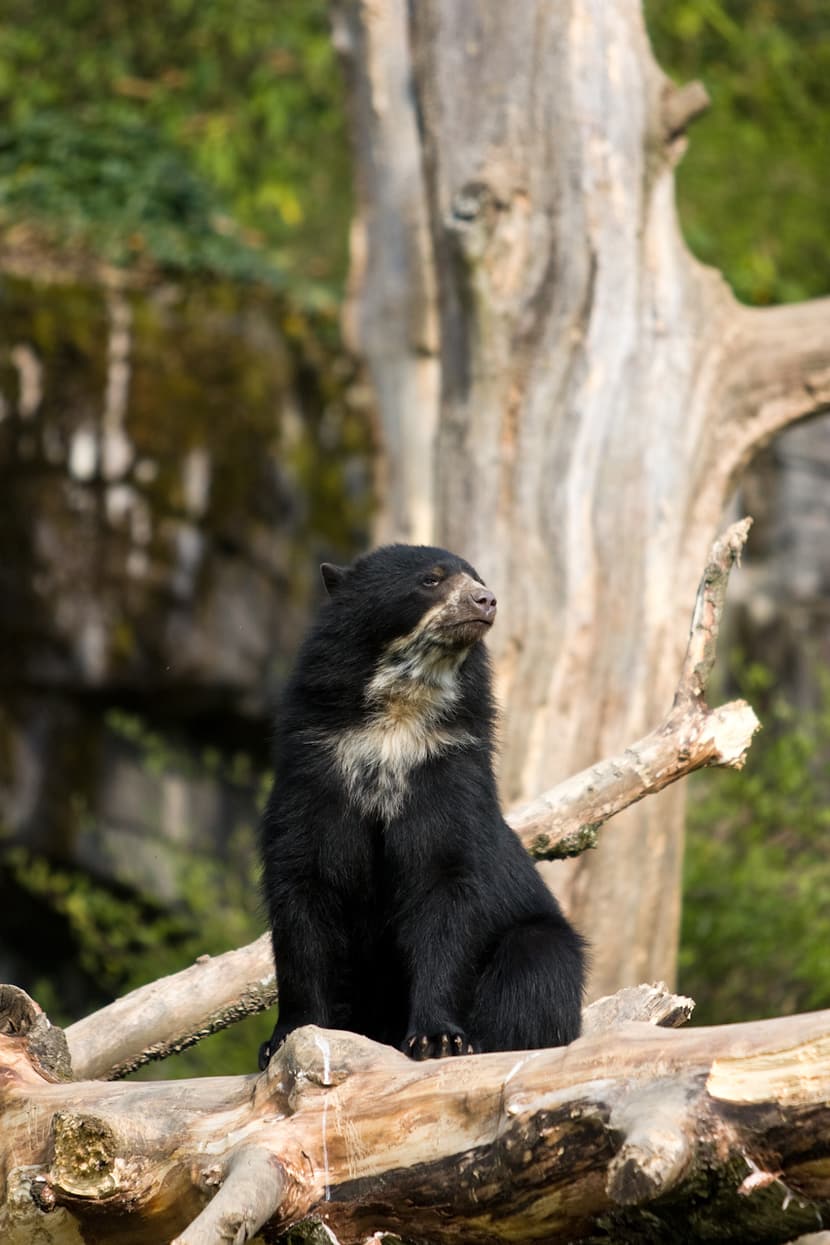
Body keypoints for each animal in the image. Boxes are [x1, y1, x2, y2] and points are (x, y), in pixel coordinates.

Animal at [260, 547, 584, 1070]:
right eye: (431, 580)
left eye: (477, 578)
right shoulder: (314, 771)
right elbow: (303, 885)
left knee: (533, 972)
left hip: (540, 943)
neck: (398, 718)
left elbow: (444, 885)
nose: (486, 600)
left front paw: (439, 1040)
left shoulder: (447, 773)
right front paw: (287, 1038)